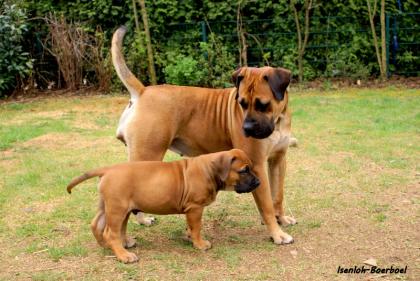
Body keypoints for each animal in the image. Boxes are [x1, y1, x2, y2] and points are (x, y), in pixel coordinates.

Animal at [66, 149, 260, 262]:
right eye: (244, 170)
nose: (258, 182)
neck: (210, 170)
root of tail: (108, 169)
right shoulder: (195, 208)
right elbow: (197, 227)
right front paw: (199, 243)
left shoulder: (191, 211)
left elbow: (191, 227)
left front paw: (190, 238)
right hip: (117, 209)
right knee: (111, 232)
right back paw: (123, 255)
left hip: (110, 207)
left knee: (97, 225)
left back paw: (109, 245)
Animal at [111, 26, 296, 245]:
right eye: (241, 103)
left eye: (263, 104)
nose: (247, 128)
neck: (277, 120)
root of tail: (142, 91)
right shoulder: (257, 164)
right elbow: (266, 204)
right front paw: (277, 233)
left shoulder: (278, 160)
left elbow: (278, 195)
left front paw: (281, 219)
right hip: (147, 154)